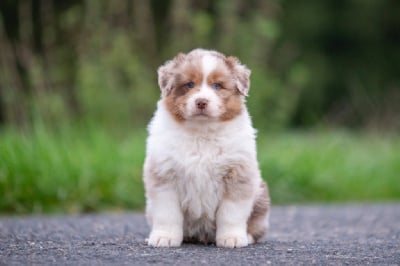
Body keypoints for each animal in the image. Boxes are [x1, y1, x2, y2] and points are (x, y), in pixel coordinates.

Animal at [142, 47, 270, 247]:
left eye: (217, 86)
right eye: (189, 84)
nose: (201, 101)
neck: (202, 132)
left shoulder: (237, 174)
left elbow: (230, 212)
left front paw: (232, 238)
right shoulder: (164, 174)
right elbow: (167, 213)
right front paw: (164, 237)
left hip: (261, 198)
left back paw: (247, 237)